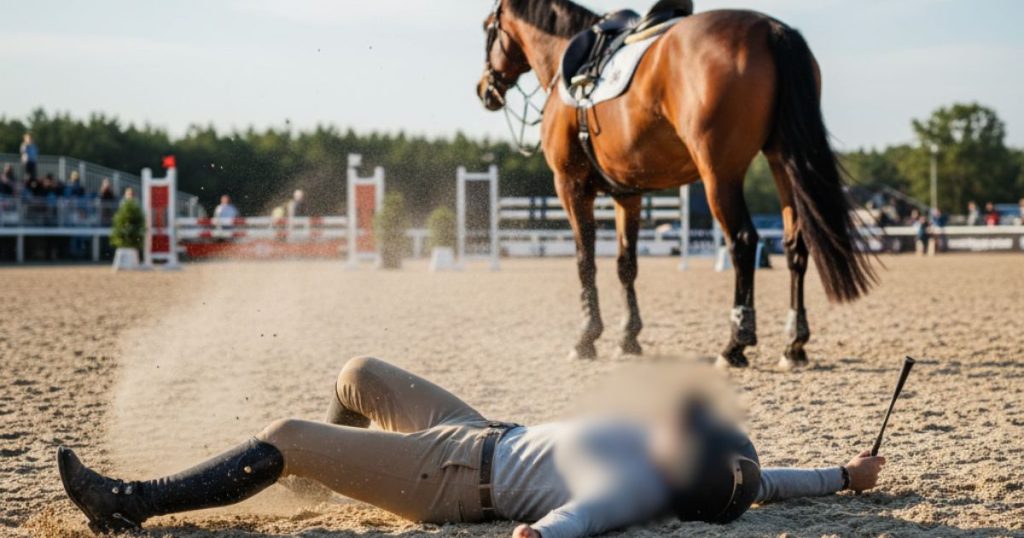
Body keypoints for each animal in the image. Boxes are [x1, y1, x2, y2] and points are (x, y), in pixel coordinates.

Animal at [475, 0, 875, 369]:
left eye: (487, 28)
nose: (484, 89)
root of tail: (769, 29)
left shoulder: (570, 186)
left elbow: (585, 260)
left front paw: (586, 339)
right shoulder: (627, 194)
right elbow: (626, 264)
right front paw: (629, 338)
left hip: (720, 174)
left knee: (743, 242)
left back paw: (735, 344)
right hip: (783, 163)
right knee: (795, 246)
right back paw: (794, 345)